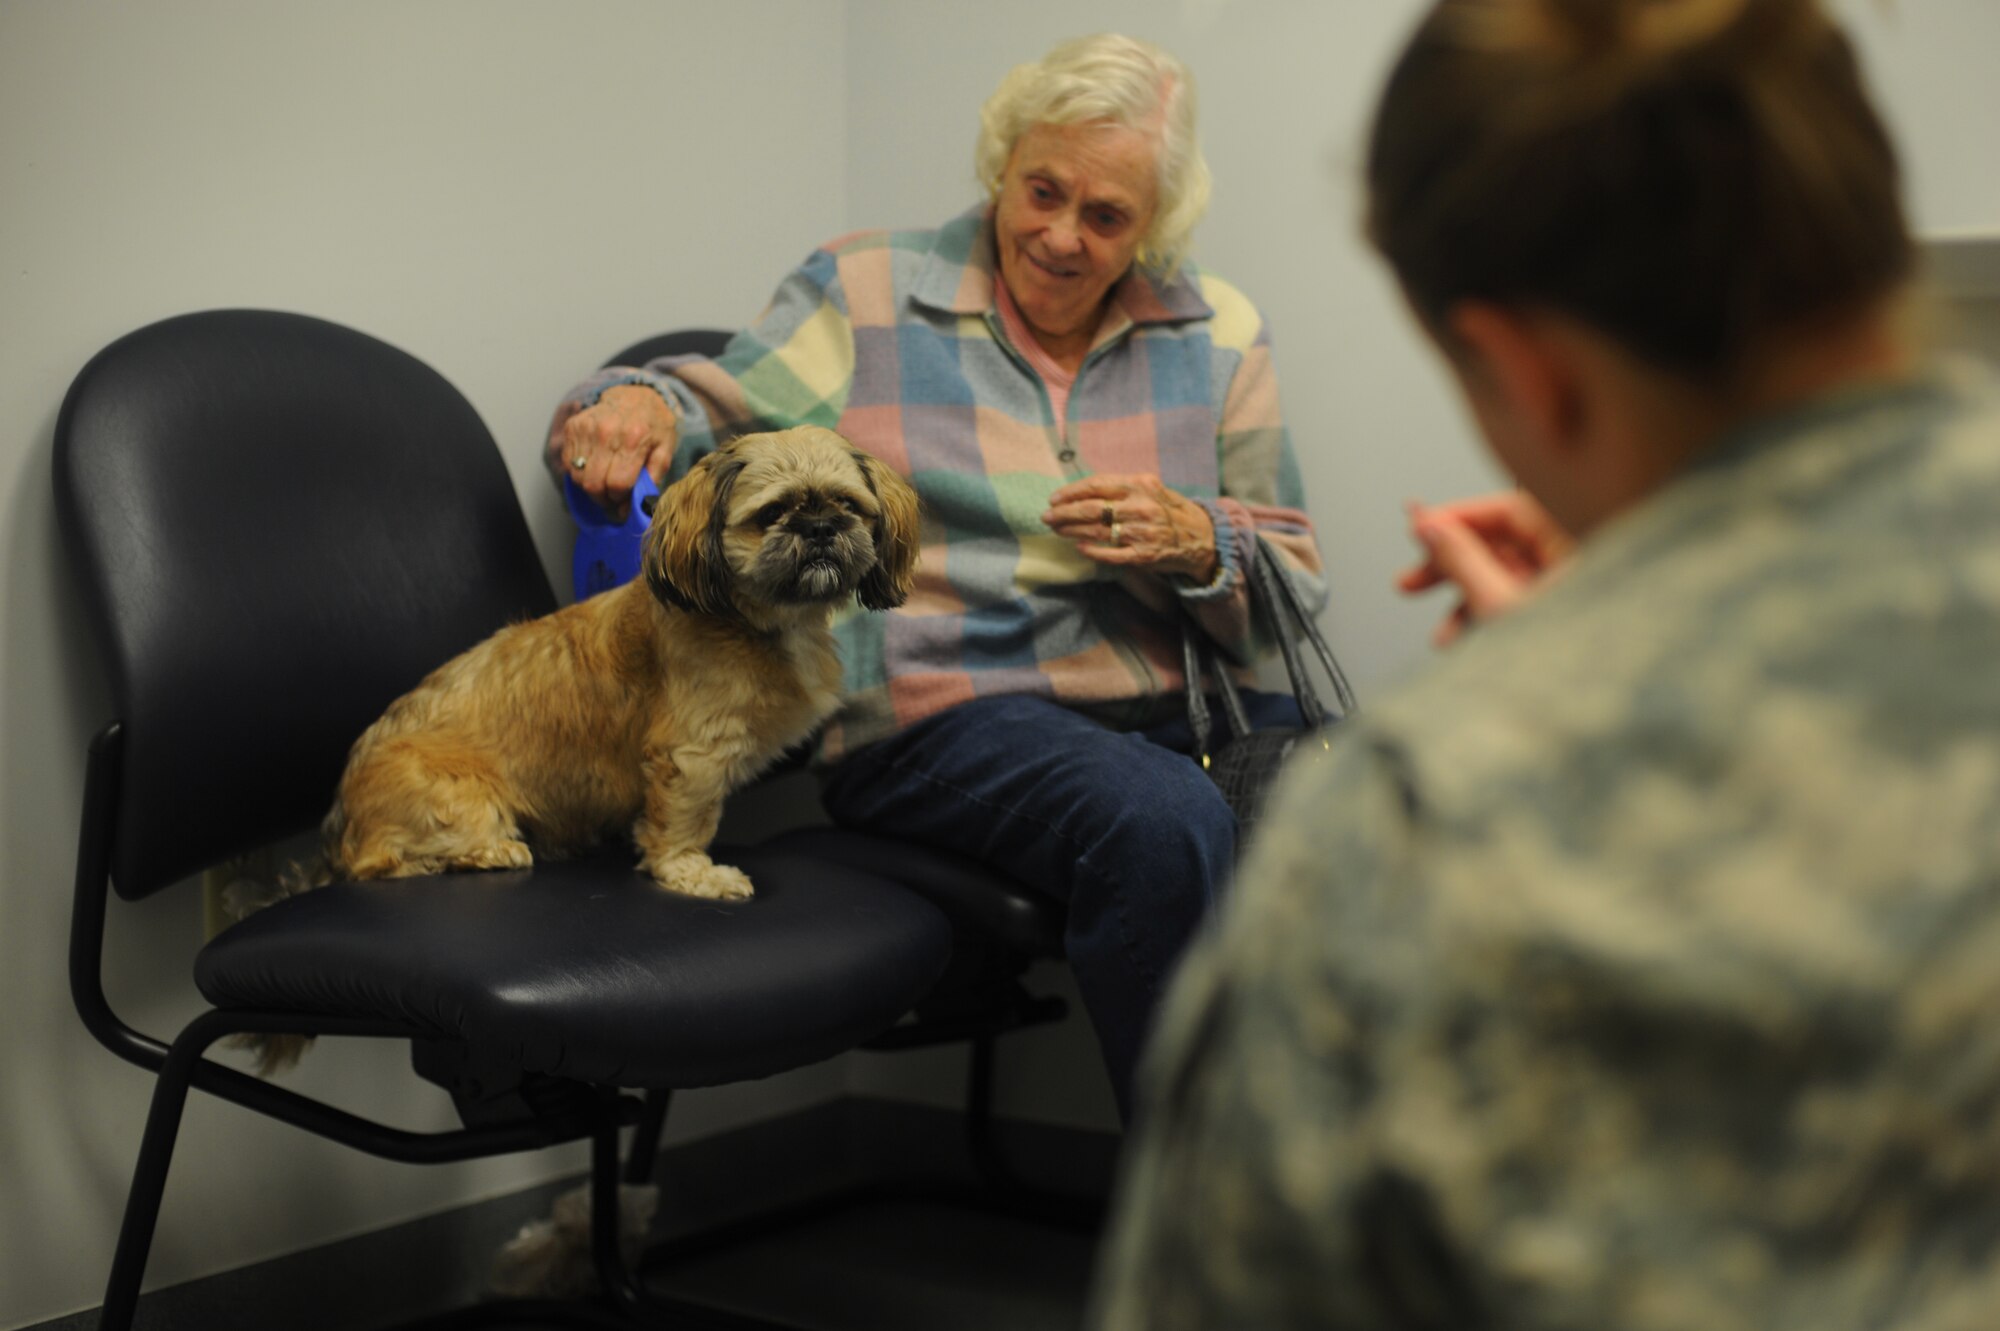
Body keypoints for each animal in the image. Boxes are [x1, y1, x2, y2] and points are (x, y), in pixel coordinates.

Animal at [238, 425, 916, 1071]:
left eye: (848, 505)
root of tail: (339, 823)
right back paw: (474, 856)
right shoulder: (692, 757)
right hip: (457, 798)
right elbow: (684, 825)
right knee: (377, 864)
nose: (821, 527)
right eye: (772, 513)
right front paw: (692, 873)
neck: (750, 621)